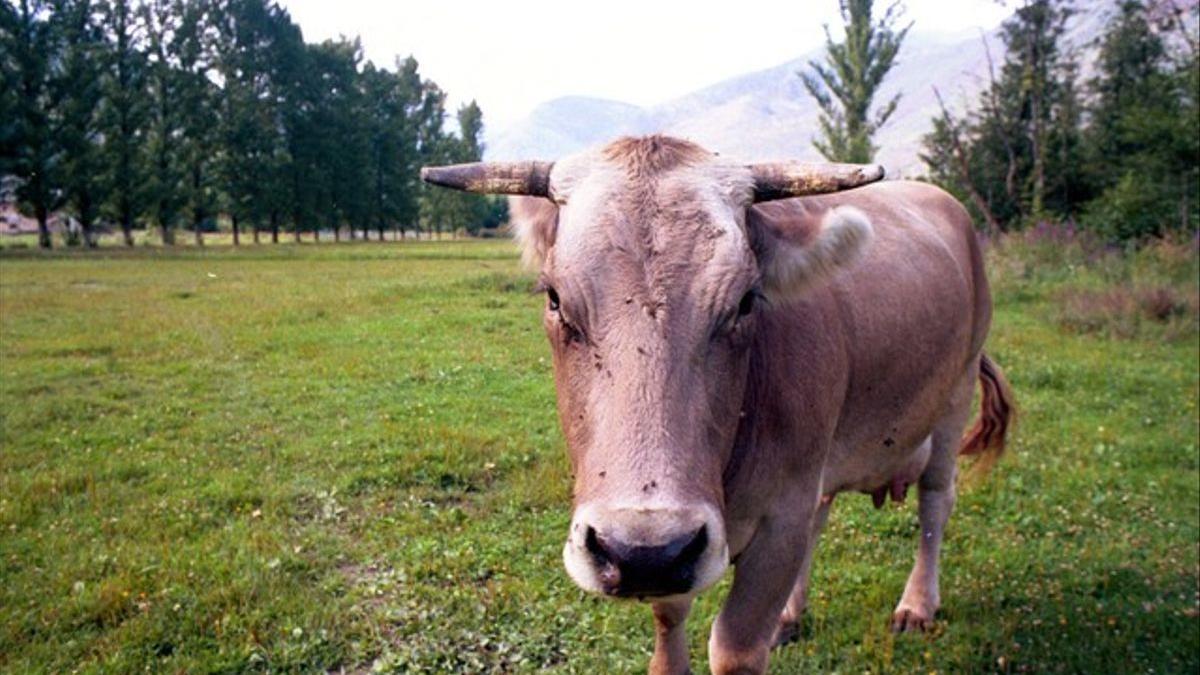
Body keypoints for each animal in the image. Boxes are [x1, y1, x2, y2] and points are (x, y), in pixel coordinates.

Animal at [422, 135, 1012, 672]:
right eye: (554, 298)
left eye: (747, 301)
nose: (638, 552)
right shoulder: (685, 545)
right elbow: (670, 621)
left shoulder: (776, 522)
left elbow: (734, 646)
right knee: (825, 511)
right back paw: (790, 616)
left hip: (955, 394)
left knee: (935, 501)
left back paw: (917, 604)